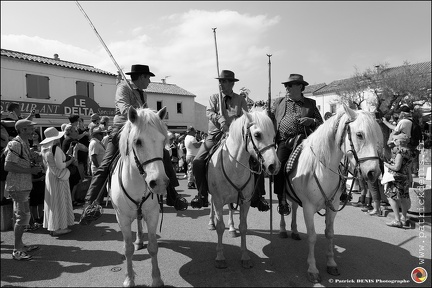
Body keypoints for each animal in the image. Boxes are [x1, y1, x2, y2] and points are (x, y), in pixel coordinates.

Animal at [108, 107, 169, 286]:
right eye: (138, 141)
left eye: (163, 140)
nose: (160, 183)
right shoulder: (122, 218)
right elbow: (127, 249)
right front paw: (129, 279)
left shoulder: (153, 214)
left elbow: (153, 247)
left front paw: (157, 279)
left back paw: (140, 240)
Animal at [208, 107, 282, 268]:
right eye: (257, 134)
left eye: (274, 136)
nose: (274, 166)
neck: (234, 165)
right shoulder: (218, 200)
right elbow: (220, 226)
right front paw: (220, 256)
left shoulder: (245, 201)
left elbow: (243, 227)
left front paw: (245, 256)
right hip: (213, 196)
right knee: (211, 206)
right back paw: (211, 223)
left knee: (230, 209)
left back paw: (231, 228)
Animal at [280, 104, 382, 282]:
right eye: (359, 134)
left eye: (377, 135)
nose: (373, 173)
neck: (322, 168)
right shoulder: (308, 207)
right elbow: (312, 236)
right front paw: (312, 269)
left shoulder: (332, 205)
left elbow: (329, 233)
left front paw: (331, 263)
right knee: (283, 206)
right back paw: (283, 229)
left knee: (294, 207)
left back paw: (294, 231)